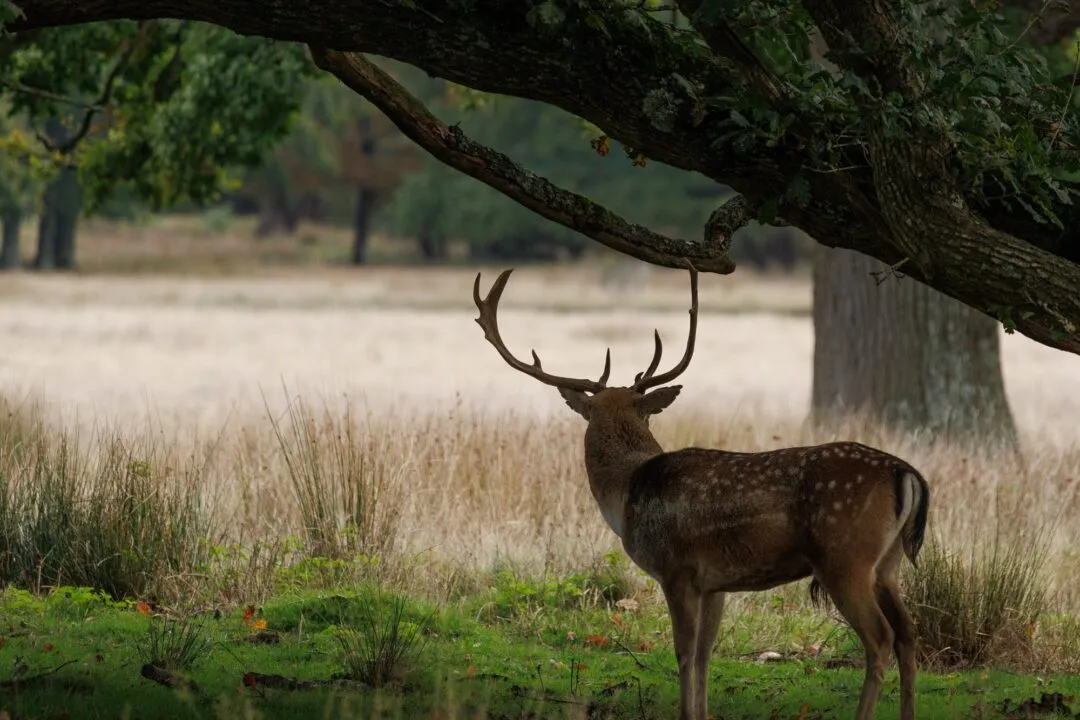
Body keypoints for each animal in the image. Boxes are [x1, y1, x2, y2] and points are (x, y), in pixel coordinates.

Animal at [471, 265, 930, 720]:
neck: (626, 493)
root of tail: (904, 471)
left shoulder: (677, 569)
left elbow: (684, 652)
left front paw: (686, 711)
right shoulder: (716, 582)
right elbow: (708, 653)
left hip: (845, 556)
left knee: (880, 638)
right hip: (887, 563)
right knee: (908, 632)